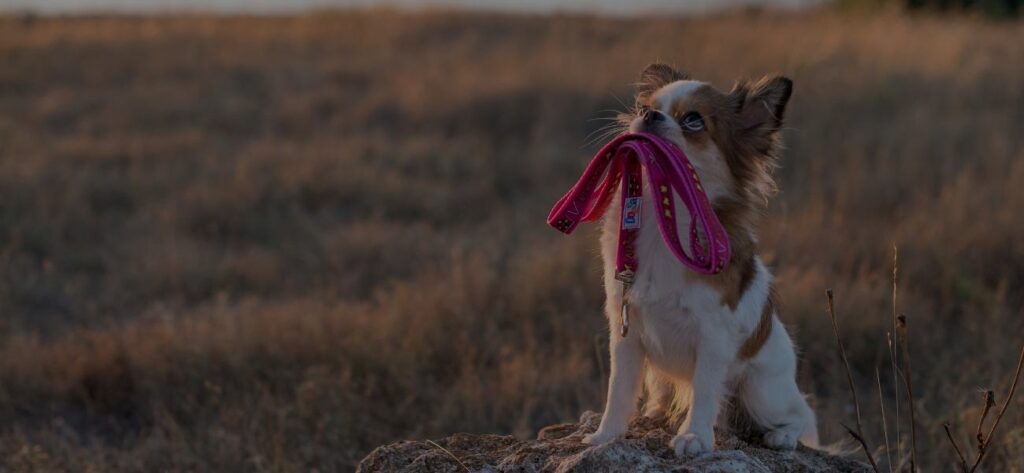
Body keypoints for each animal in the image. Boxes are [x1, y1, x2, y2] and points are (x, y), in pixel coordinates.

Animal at [581, 64, 819, 456]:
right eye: (644, 107)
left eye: (693, 120)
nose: (649, 115)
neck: (664, 223)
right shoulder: (625, 330)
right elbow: (619, 390)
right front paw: (606, 434)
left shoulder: (713, 336)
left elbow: (706, 391)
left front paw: (694, 436)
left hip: (760, 389)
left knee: (803, 415)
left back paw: (782, 435)